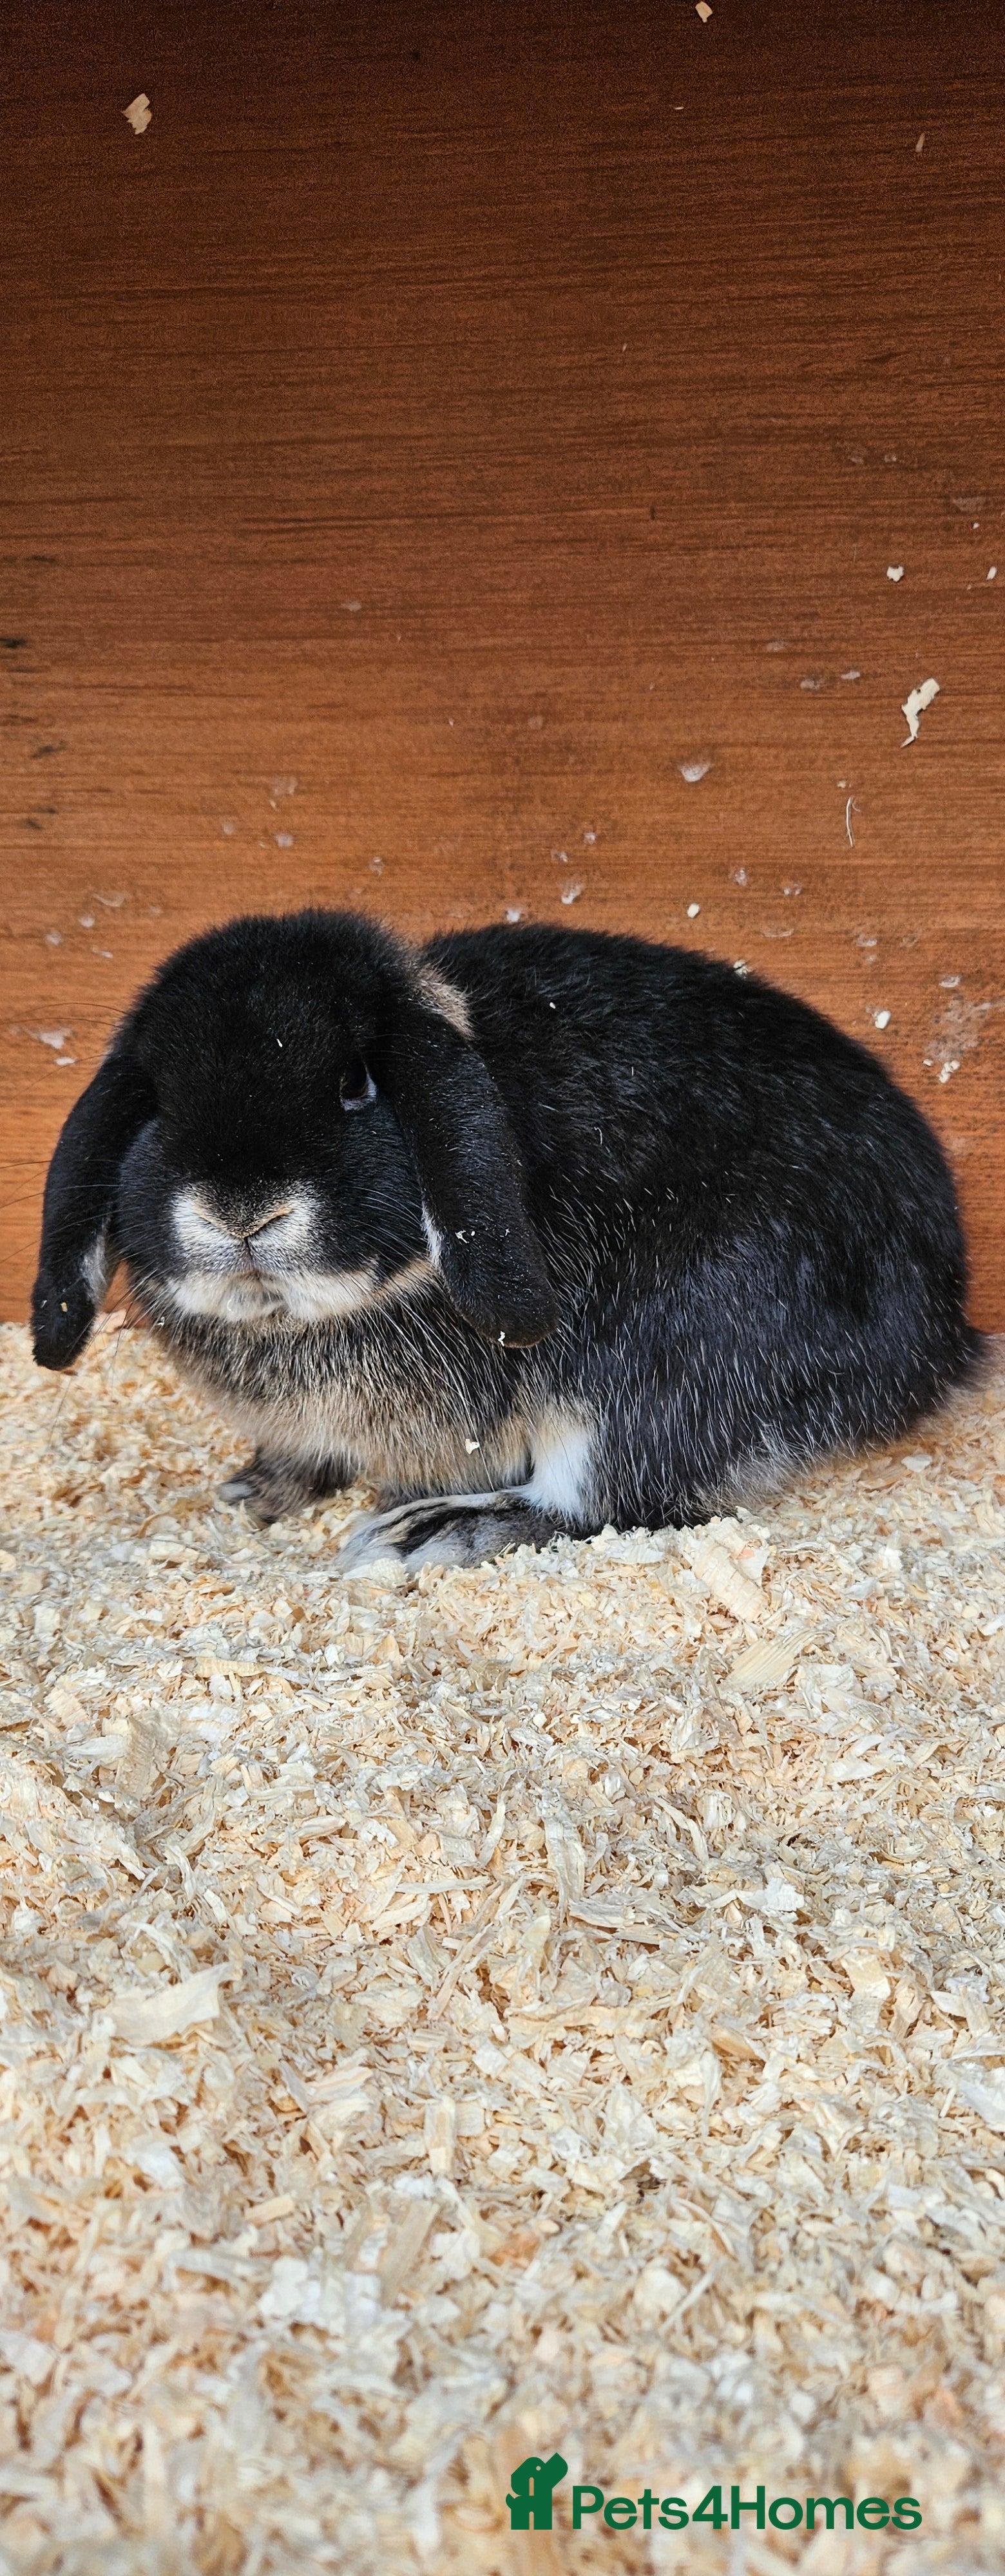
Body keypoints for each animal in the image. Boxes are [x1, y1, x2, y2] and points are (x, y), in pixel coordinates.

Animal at [32, 907, 981, 1571]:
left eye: (355, 1084)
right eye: (157, 1102)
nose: (241, 1211)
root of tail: (938, 1342)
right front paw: (254, 1490)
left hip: (662, 1354)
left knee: (602, 1496)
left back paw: (426, 1533)